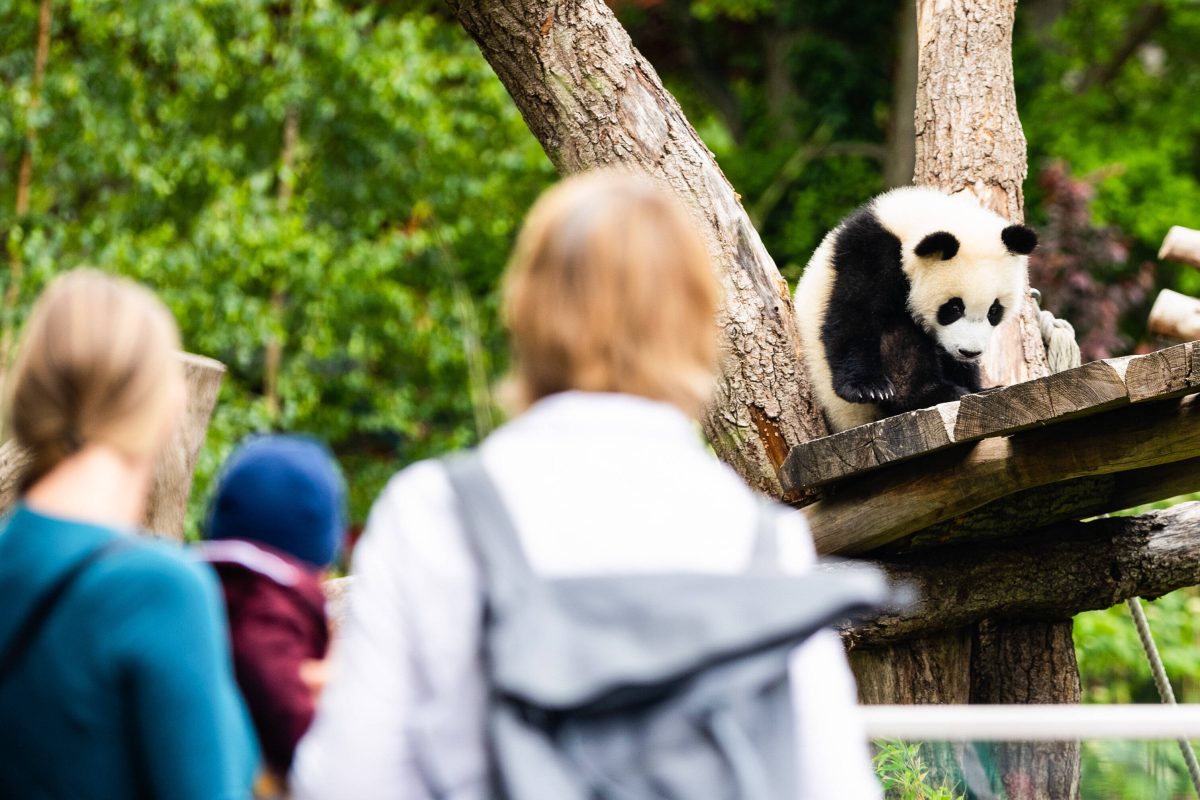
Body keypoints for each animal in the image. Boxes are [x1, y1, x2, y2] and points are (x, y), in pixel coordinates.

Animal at [792, 185, 1036, 434]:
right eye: (954, 307)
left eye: (994, 311)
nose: (969, 352)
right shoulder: (867, 254)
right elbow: (854, 314)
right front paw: (868, 387)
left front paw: (977, 386)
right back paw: (933, 393)